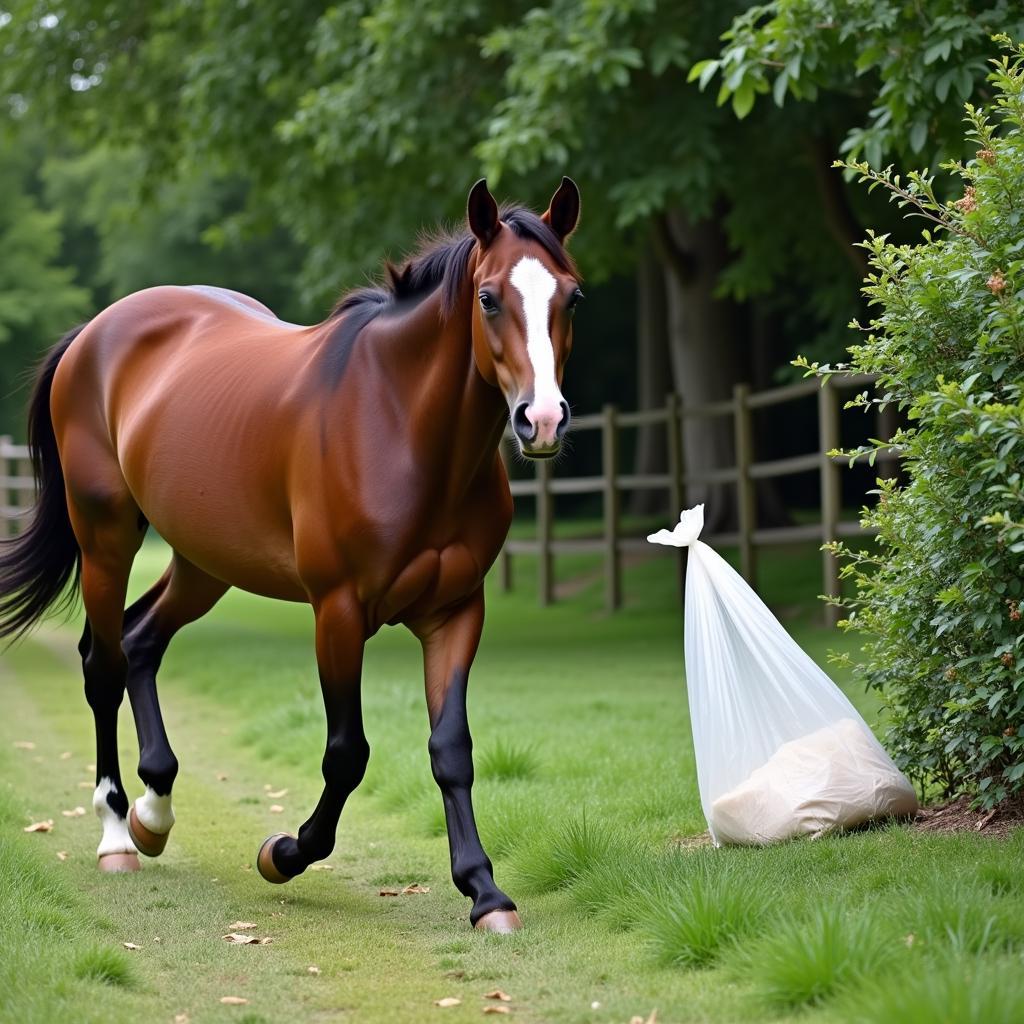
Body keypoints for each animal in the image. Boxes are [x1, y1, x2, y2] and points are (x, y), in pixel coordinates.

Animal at [0, 178, 577, 937]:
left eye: (571, 297)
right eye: (488, 297)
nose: (541, 421)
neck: (399, 424)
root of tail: (96, 332)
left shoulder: (455, 612)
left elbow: (452, 750)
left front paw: (485, 892)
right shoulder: (338, 612)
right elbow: (347, 755)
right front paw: (283, 853)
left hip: (205, 562)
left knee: (142, 639)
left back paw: (157, 811)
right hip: (107, 538)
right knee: (104, 665)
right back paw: (118, 833)